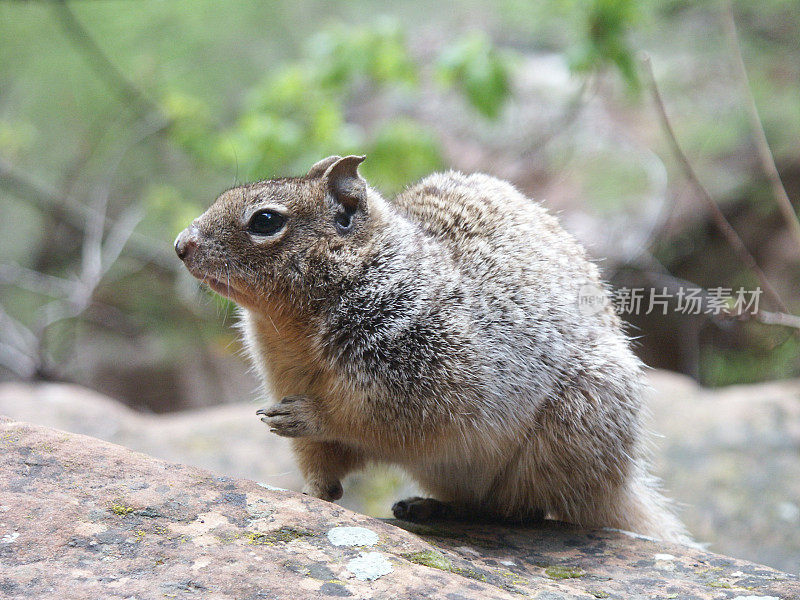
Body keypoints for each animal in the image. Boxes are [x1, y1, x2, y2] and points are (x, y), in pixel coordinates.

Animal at [175, 155, 688, 544]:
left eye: (265, 220)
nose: (180, 244)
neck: (294, 328)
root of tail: (622, 483)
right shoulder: (286, 378)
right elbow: (321, 468)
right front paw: (310, 494)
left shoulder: (428, 371)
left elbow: (369, 418)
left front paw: (309, 415)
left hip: (564, 437)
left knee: (520, 511)